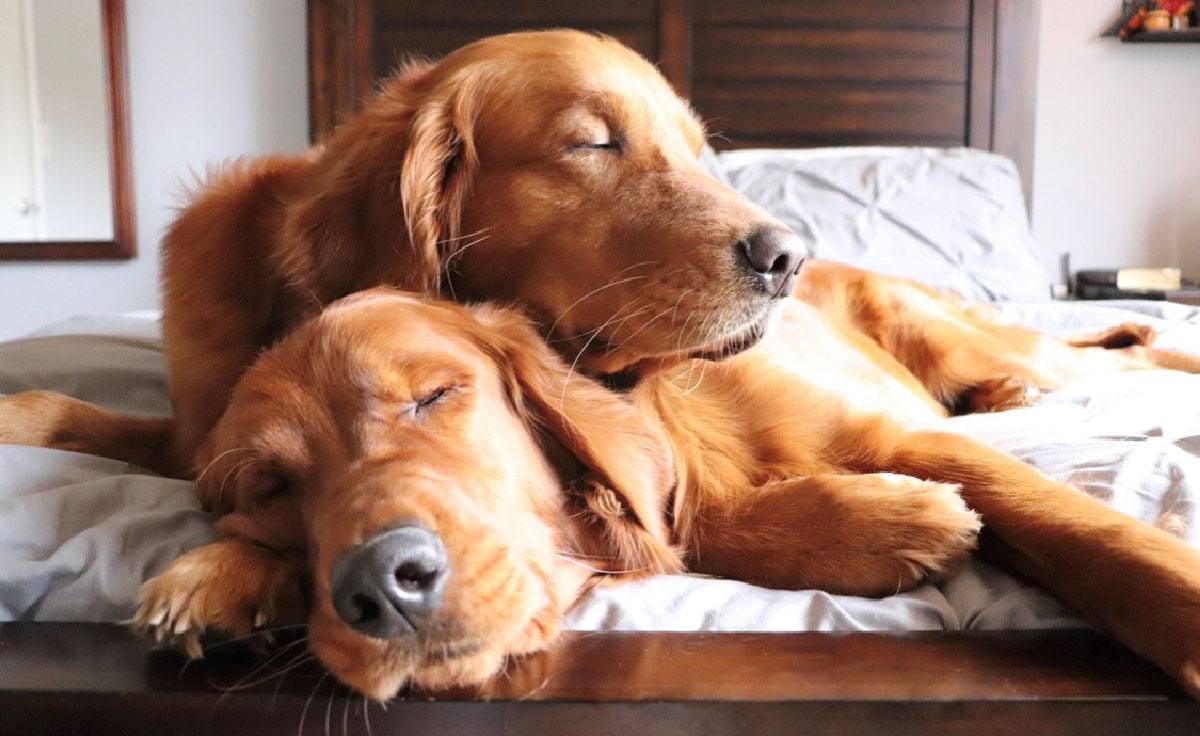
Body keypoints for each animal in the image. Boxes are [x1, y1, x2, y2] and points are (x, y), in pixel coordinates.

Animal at [2, 28, 1200, 696]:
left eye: (701, 149)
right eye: (592, 143)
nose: (787, 257)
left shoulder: (894, 431)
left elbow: (1077, 526)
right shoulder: (198, 427)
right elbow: (91, 418)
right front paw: (219, 569)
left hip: (959, 336)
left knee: (1095, 361)